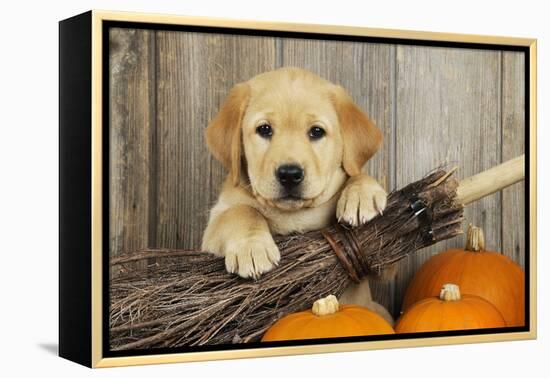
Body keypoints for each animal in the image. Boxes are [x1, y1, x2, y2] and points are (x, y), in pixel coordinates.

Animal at [203, 68, 392, 322]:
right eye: (264, 129)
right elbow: (241, 211)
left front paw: (361, 192)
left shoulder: (381, 263)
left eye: (316, 132)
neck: (294, 214)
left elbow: (355, 173)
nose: (290, 174)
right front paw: (251, 247)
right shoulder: (211, 231)